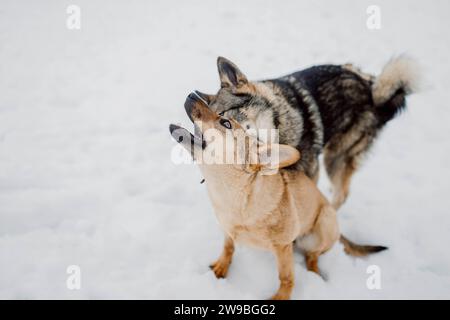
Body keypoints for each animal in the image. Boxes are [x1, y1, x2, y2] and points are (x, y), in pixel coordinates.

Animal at [169, 92, 386, 300]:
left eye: (226, 123)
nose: (191, 95)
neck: (233, 195)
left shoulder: (282, 247)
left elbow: (286, 277)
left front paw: (281, 296)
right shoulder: (227, 230)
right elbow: (228, 248)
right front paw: (222, 267)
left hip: (325, 222)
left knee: (313, 256)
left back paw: (315, 273)